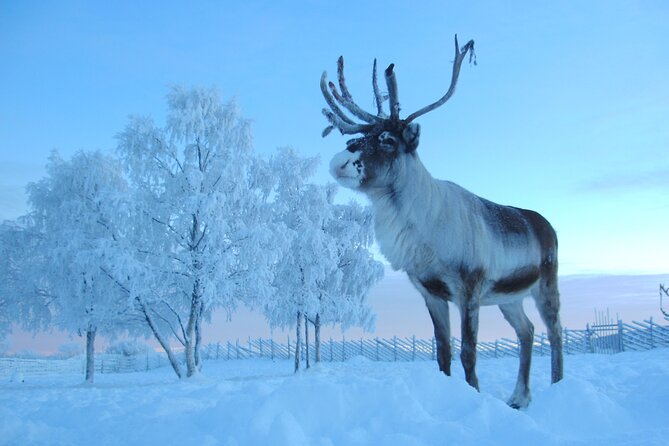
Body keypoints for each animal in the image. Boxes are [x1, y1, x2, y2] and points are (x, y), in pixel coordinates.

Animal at [320, 35, 563, 409]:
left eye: (388, 140)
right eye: (355, 138)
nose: (339, 161)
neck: (425, 229)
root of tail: (547, 225)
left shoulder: (468, 288)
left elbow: (468, 353)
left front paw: (474, 396)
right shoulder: (429, 291)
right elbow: (443, 352)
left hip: (546, 283)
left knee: (554, 332)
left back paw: (558, 389)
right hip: (509, 297)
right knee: (527, 331)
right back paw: (518, 397)